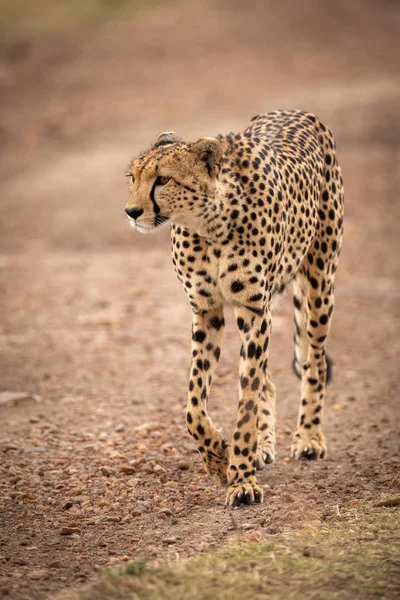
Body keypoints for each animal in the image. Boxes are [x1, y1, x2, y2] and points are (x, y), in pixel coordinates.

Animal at [124, 110, 344, 504]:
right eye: (132, 177)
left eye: (163, 179)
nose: (132, 211)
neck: (209, 223)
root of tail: (294, 111)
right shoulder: (206, 310)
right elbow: (193, 405)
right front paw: (217, 457)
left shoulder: (254, 309)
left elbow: (246, 401)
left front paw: (242, 478)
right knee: (270, 380)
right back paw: (264, 445)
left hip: (319, 283)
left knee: (313, 362)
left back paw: (308, 437)